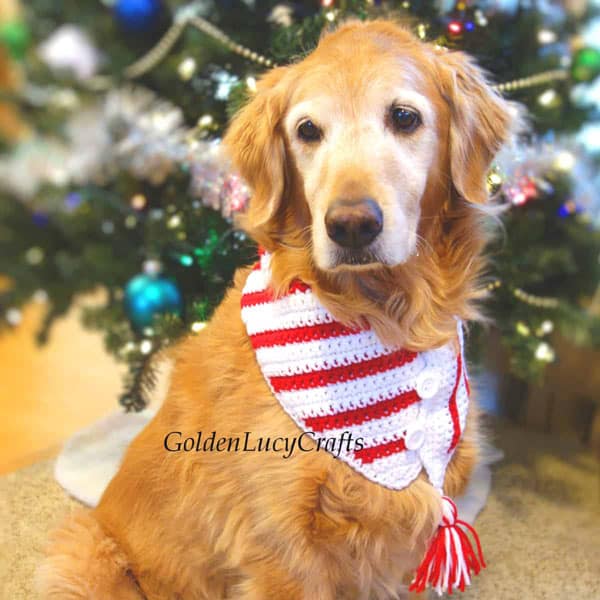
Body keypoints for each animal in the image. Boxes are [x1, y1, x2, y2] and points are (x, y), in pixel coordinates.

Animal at [38, 19, 516, 600]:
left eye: (404, 117)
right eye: (307, 130)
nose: (351, 225)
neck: (382, 318)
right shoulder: (282, 548)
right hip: (85, 549)